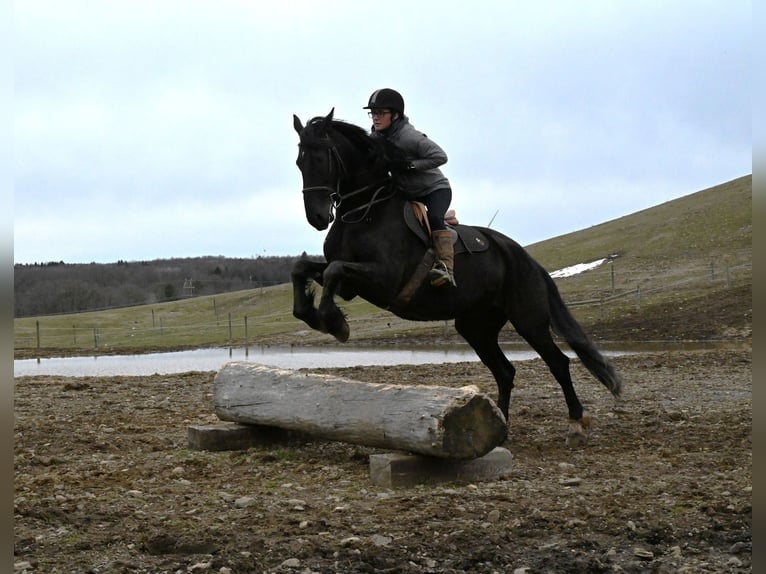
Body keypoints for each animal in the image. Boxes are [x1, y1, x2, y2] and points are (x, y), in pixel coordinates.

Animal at [290, 109, 622, 446]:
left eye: (322, 158)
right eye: (300, 162)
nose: (317, 218)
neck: (366, 209)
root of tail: (526, 259)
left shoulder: (384, 279)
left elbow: (333, 270)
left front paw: (335, 323)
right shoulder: (351, 284)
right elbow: (302, 268)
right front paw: (314, 316)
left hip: (528, 319)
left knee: (557, 362)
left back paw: (576, 423)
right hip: (476, 327)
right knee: (505, 372)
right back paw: (500, 428)